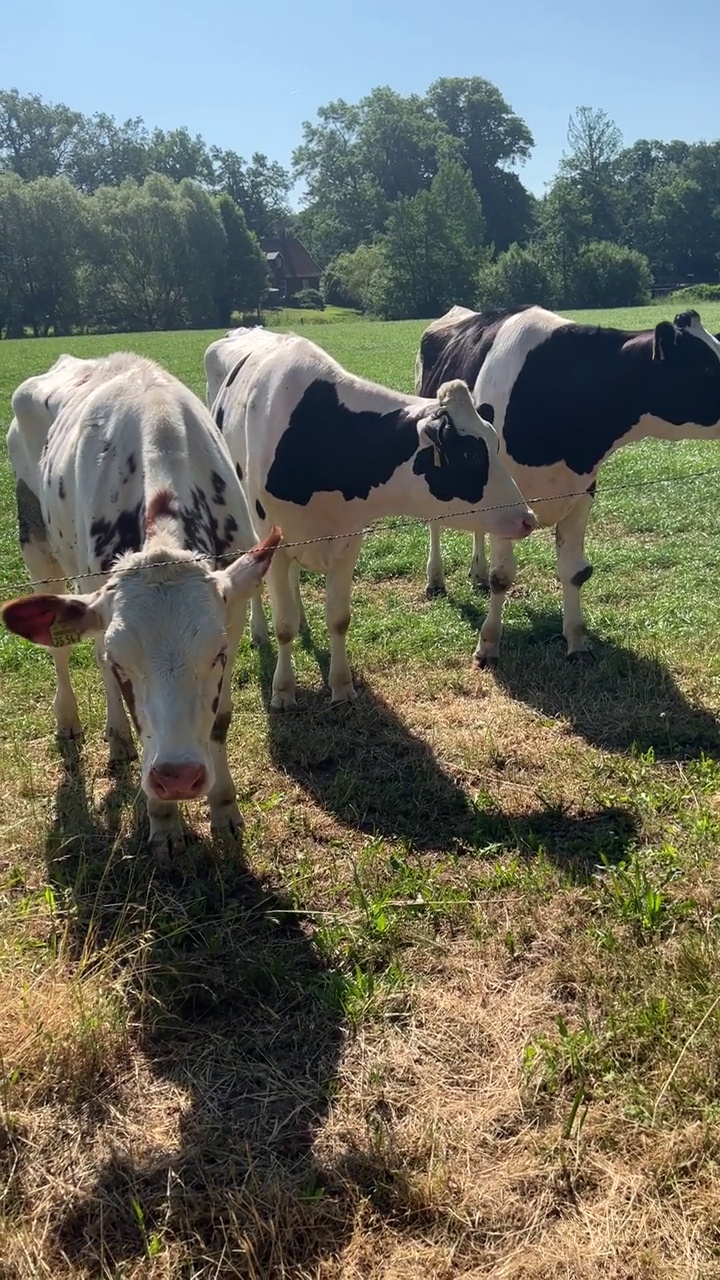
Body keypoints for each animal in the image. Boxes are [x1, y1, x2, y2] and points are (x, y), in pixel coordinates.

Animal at [4, 350, 280, 855]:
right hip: (38, 545)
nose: (178, 778)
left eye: (217, 654)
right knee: (65, 653)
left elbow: (219, 722)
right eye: (123, 660)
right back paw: (78, 722)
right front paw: (164, 822)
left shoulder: (230, 616)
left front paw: (224, 808)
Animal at [204, 327, 535, 711]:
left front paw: (342, 686)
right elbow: (283, 625)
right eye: (469, 454)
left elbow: (338, 619)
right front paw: (283, 691)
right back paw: (258, 631)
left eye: (495, 444)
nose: (528, 518)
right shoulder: (278, 543)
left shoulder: (349, 540)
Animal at [415, 307, 720, 670]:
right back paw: (435, 580)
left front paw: (577, 643)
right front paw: (488, 646)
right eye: (705, 367)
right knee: (435, 524)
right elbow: (503, 576)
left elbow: (575, 572)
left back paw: (477, 574)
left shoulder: (582, 493)